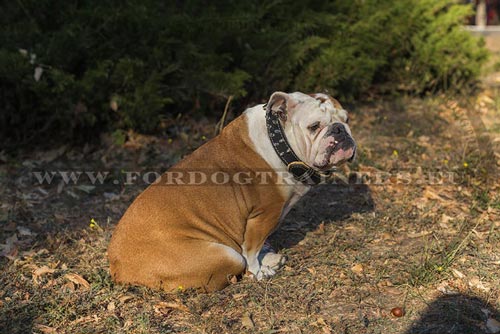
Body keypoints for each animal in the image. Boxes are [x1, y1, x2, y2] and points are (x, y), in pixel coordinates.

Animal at [108, 92, 356, 292]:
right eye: (314, 126)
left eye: (346, 119)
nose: (340, 129)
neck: (279, 143)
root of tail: (118, 267)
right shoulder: (263, 215)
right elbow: (251, 249)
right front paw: (258, 272)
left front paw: (267, 257)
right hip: (226, 255)